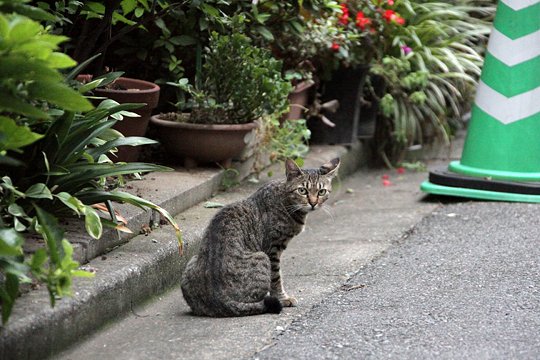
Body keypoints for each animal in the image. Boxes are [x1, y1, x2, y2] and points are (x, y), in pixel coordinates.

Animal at [181, 159, 342, 316]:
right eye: (302, 190)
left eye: (321, 191)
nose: (313, 203)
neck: (285, 199)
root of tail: (219, 299)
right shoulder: (273, 249)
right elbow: (276, 277)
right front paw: (283, 298)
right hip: (261, 257)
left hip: (192, 262)